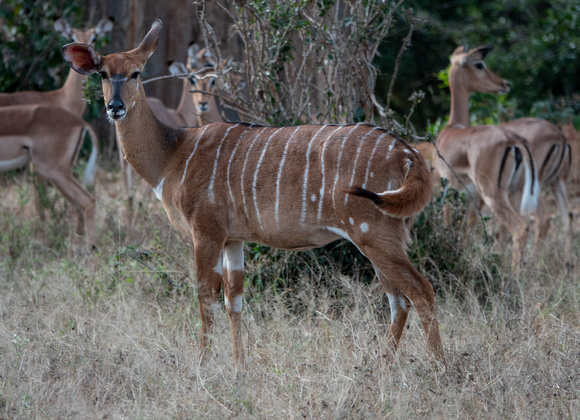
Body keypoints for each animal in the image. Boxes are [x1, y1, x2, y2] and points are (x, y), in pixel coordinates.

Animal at [62, 19, 444, 366]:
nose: (115, 107)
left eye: (136, 73)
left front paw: (201, 365)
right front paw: (239, 366)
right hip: (382, 236)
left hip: (375, 233)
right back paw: (380, 366)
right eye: (103, 73)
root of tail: (409, 155)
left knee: (421, 291)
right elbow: (235, 300)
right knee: (399, 300)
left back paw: (439, 368)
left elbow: (205, 296)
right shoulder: (234, 238)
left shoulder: (206, 230)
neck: (173, 154)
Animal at [432, 44, 540, 270]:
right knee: (507, 233)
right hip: (513, 193)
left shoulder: (447, 190)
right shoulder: (473, 198)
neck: (451, 129)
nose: (505, 84)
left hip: (493, 194)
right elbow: (465, 233)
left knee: (520, 228)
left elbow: (449, 226)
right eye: (479, 64)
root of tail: (514, 140)